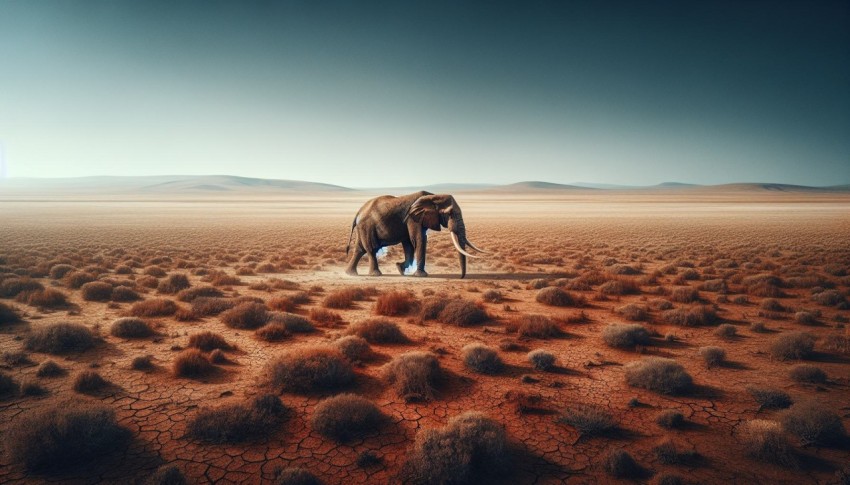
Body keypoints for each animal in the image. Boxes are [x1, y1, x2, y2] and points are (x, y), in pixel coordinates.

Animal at [344, 191, 487, 278]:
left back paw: (351, 274)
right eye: (450, 214)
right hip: (367, 226)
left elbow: (409, 244)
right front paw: (421, 275)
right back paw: (375, 274)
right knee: (371, 248)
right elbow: (418, 240)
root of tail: (358, 212)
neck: (433, 196)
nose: (461, 277)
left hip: (363, 228)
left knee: (360, 249)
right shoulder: (413, 218)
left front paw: (400, 269)